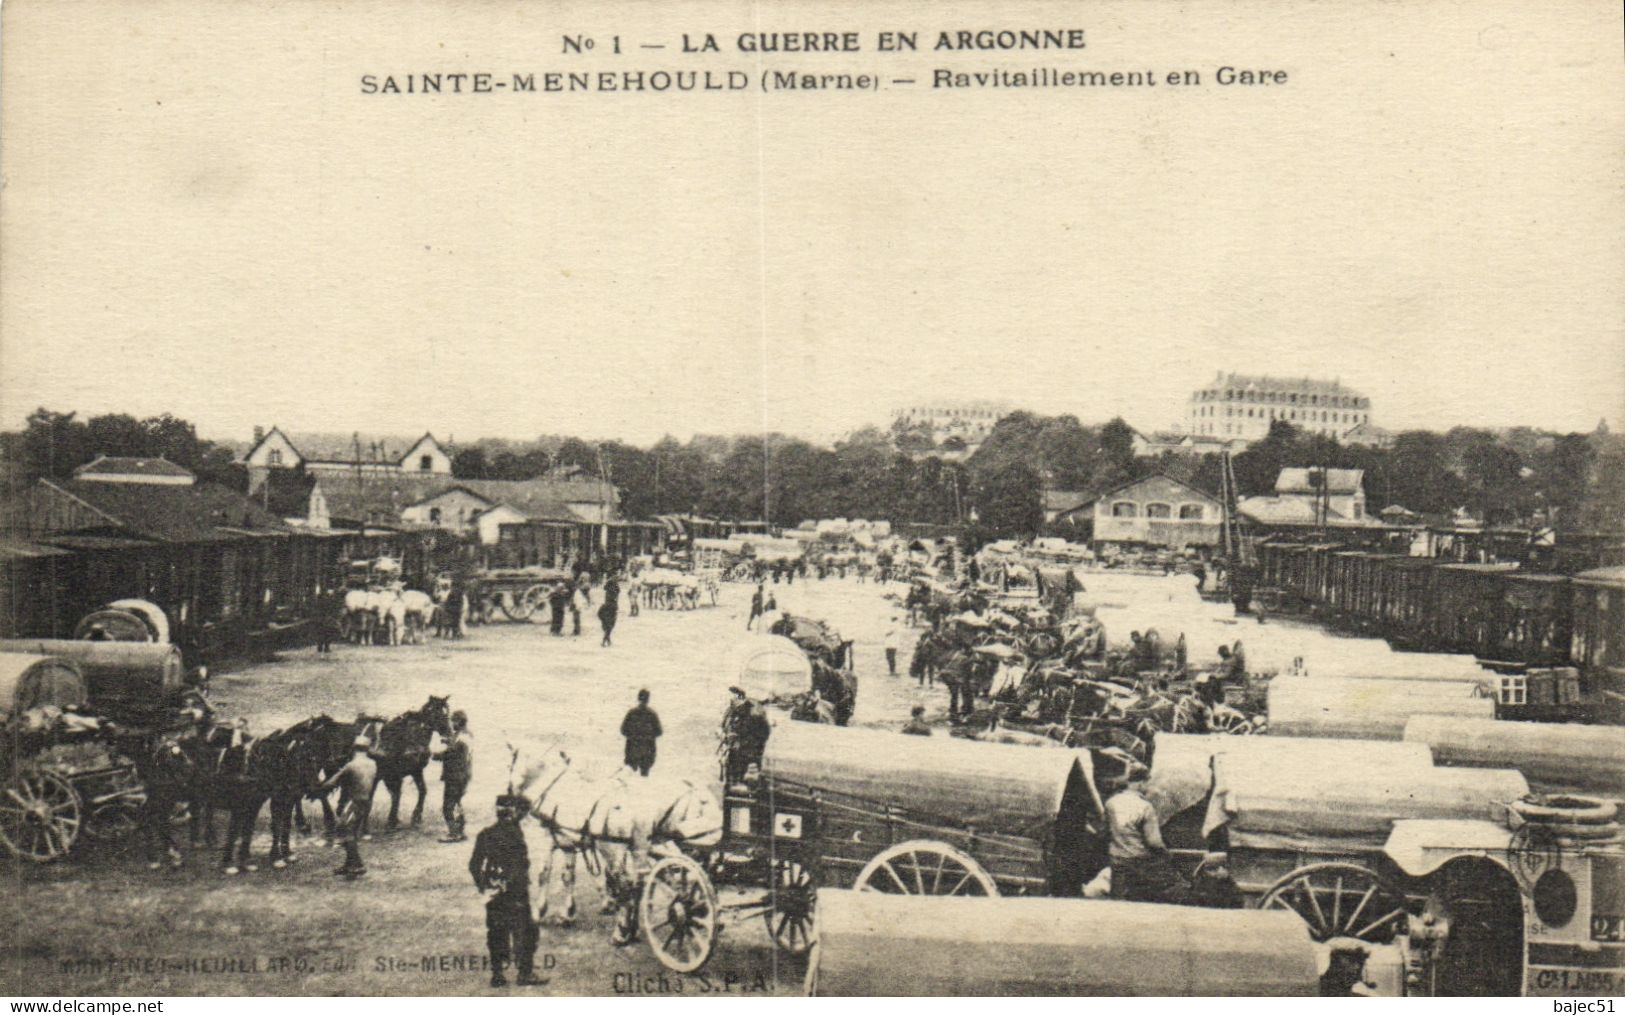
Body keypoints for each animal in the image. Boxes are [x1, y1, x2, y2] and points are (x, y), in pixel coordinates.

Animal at [516, 743, 721, 928]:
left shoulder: (550, 839)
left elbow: (545, 874)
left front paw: (541, 911)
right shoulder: (570, 842)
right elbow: (570, 875)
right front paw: (571, 911)